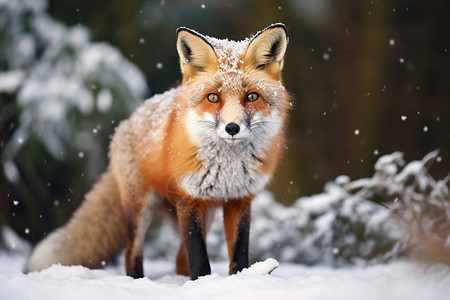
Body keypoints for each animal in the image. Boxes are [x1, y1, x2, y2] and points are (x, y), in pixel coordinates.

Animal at [25, 22, 292, 278]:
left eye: (252, 97)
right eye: (213, 98)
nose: (232, 128)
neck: (228, 170)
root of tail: (128, 120)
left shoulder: (239, 200)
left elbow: (239, 255)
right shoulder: (188, 200)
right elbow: (199, 260)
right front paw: (202, 284)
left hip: (205, 213)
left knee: (179, 259)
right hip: (141, 209)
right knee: (133, 254)